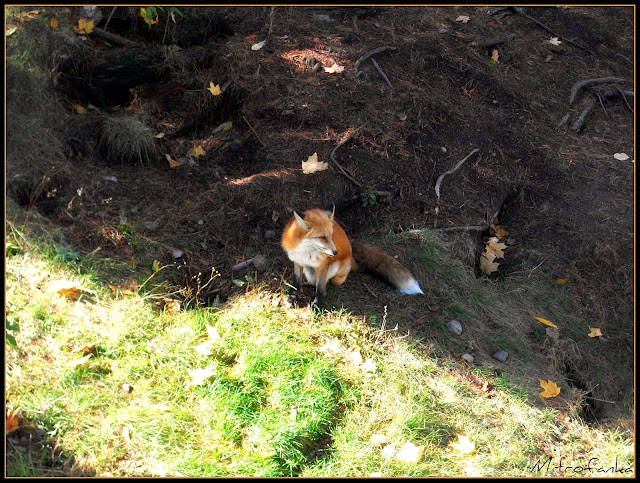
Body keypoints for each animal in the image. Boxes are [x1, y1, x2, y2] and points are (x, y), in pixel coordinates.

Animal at [281, 206, 423, 311]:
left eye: (331, 236)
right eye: (322, 237)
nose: (335, 252)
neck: (306, 251)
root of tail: (350, 254)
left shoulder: (322, 266)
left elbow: (320, 289)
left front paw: (317, 305)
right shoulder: (297, 261)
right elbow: (296, 283)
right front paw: (293, 298)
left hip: (335, 271)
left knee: (330, 281)